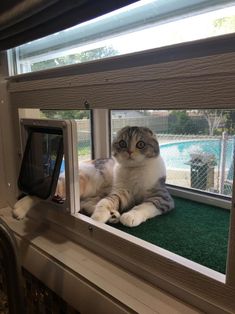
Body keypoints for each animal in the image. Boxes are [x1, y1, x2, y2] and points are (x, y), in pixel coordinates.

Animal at [13, 126, 174, 227]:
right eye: (122, 143)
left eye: (140, 144)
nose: (129, 152)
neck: (134, 170)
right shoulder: (120, 192)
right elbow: (106, 202)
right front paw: (100, 216)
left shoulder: (162, 197)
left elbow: (143, 206)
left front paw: (129, 216)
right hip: (76, 184)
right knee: (43, 194)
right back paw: (19, 208)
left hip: (90, 195)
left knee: (86, 204)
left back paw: (113, 215)